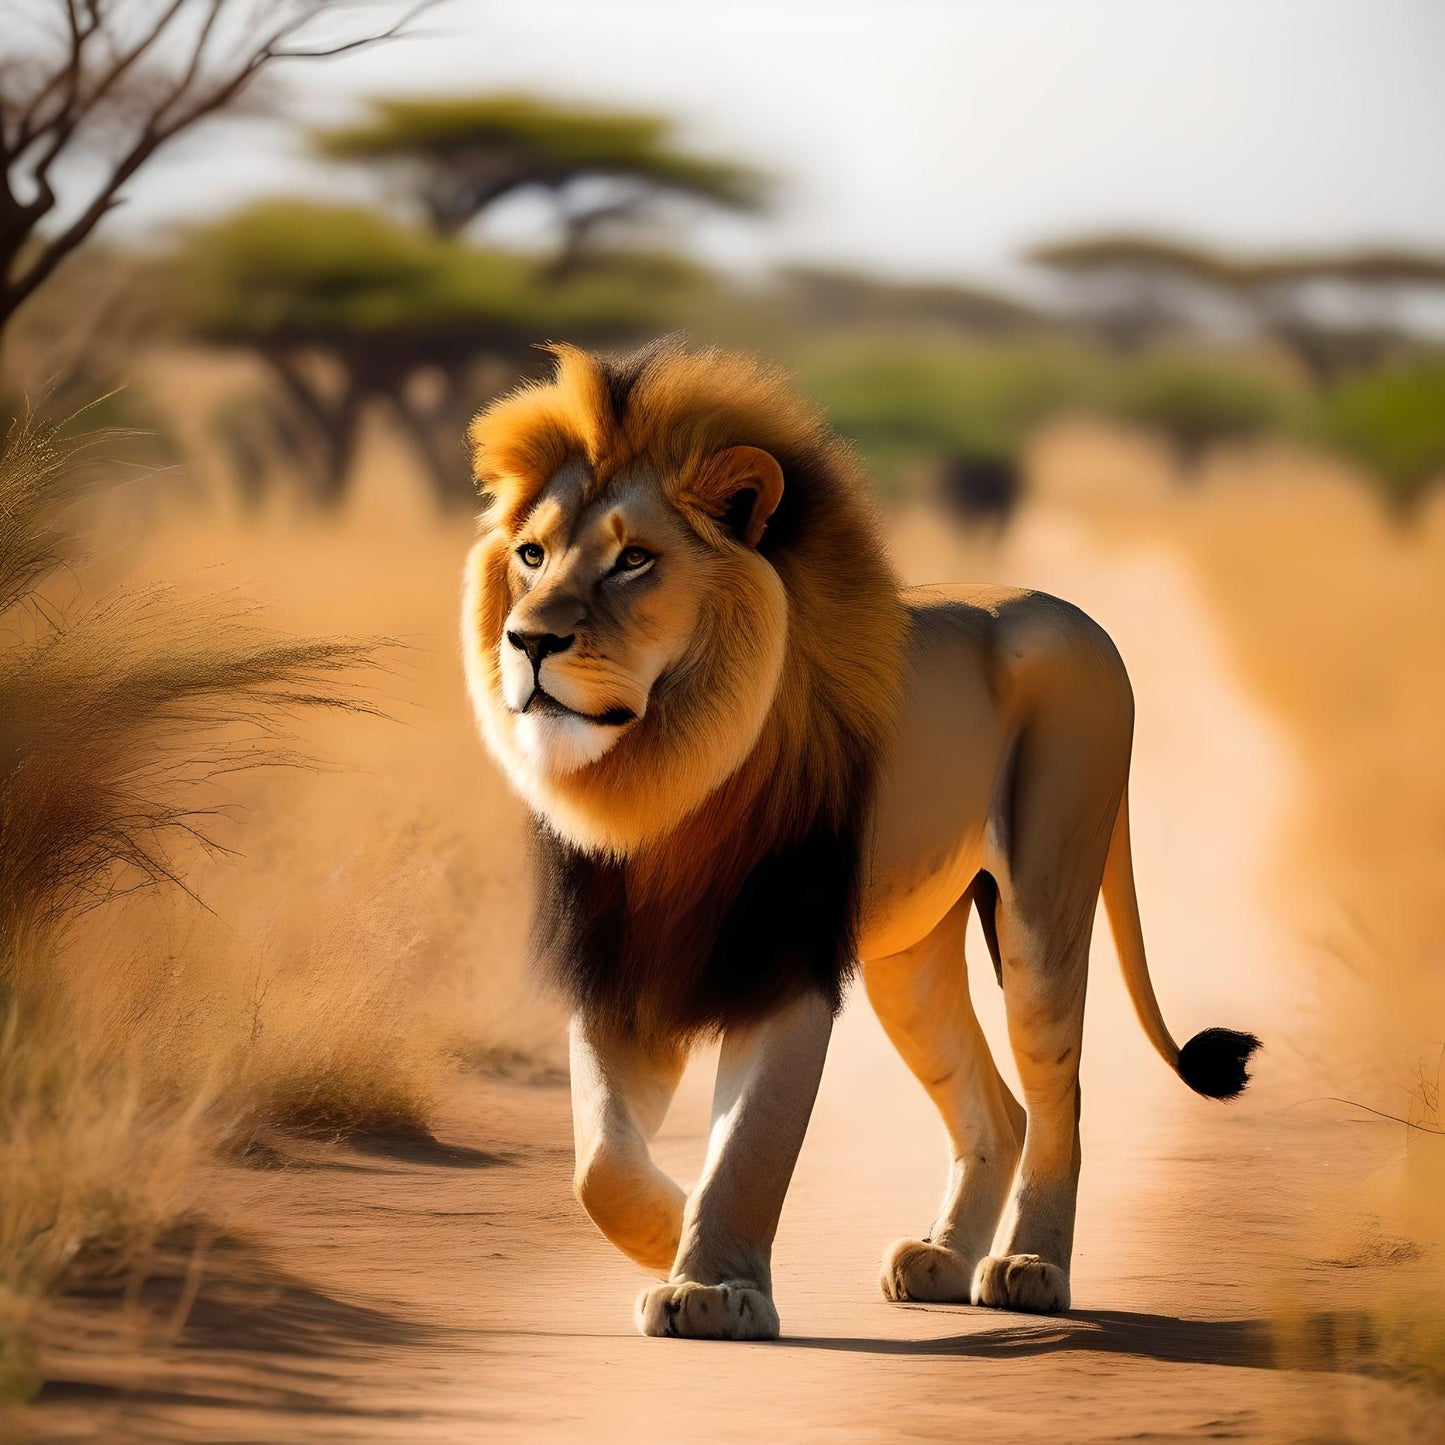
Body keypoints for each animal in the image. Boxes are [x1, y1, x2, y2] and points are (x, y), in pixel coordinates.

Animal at [461, 339, 1260, 1341]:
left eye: (634, 560)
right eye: (531, 554)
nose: (526, 640)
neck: (661, 777)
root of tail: (1076, 616)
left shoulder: (784, 955)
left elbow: (752, 1140)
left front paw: (713, 1287)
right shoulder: (619, 958)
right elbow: (597, 1158)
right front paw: (666, 1228)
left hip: (1044, 900)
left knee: (1056, 1095)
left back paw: (1029, 1265)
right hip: (909, 959)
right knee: (996, 1106)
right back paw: (942, 1257)